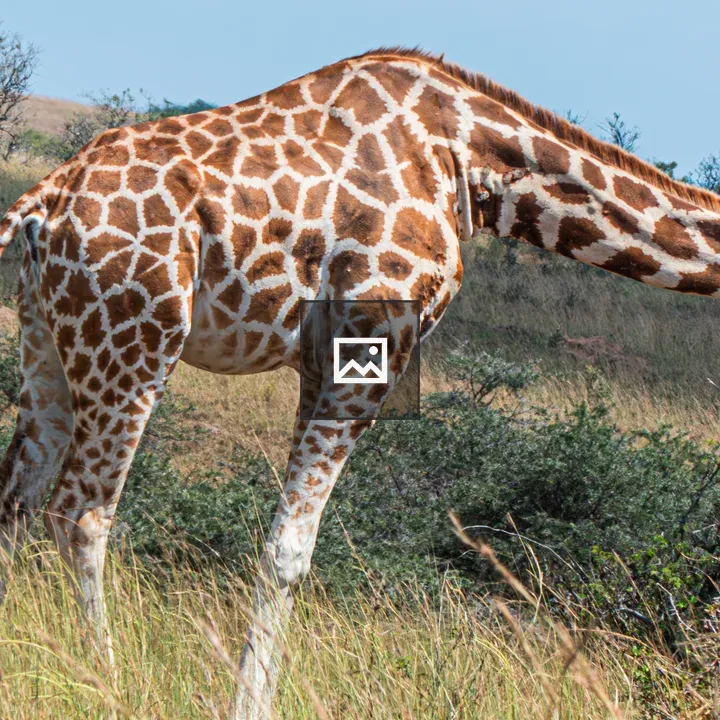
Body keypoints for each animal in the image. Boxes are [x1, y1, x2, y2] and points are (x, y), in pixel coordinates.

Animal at [0, 46, 719, 718]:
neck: (471, 165)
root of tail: (39, 207)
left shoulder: (320, 359)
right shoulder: (373, 343)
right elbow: (288, 552)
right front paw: (249, 707)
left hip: (46, 341)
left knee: (18, 497)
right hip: (134, 341)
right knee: (81, 513)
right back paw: (111, 683)